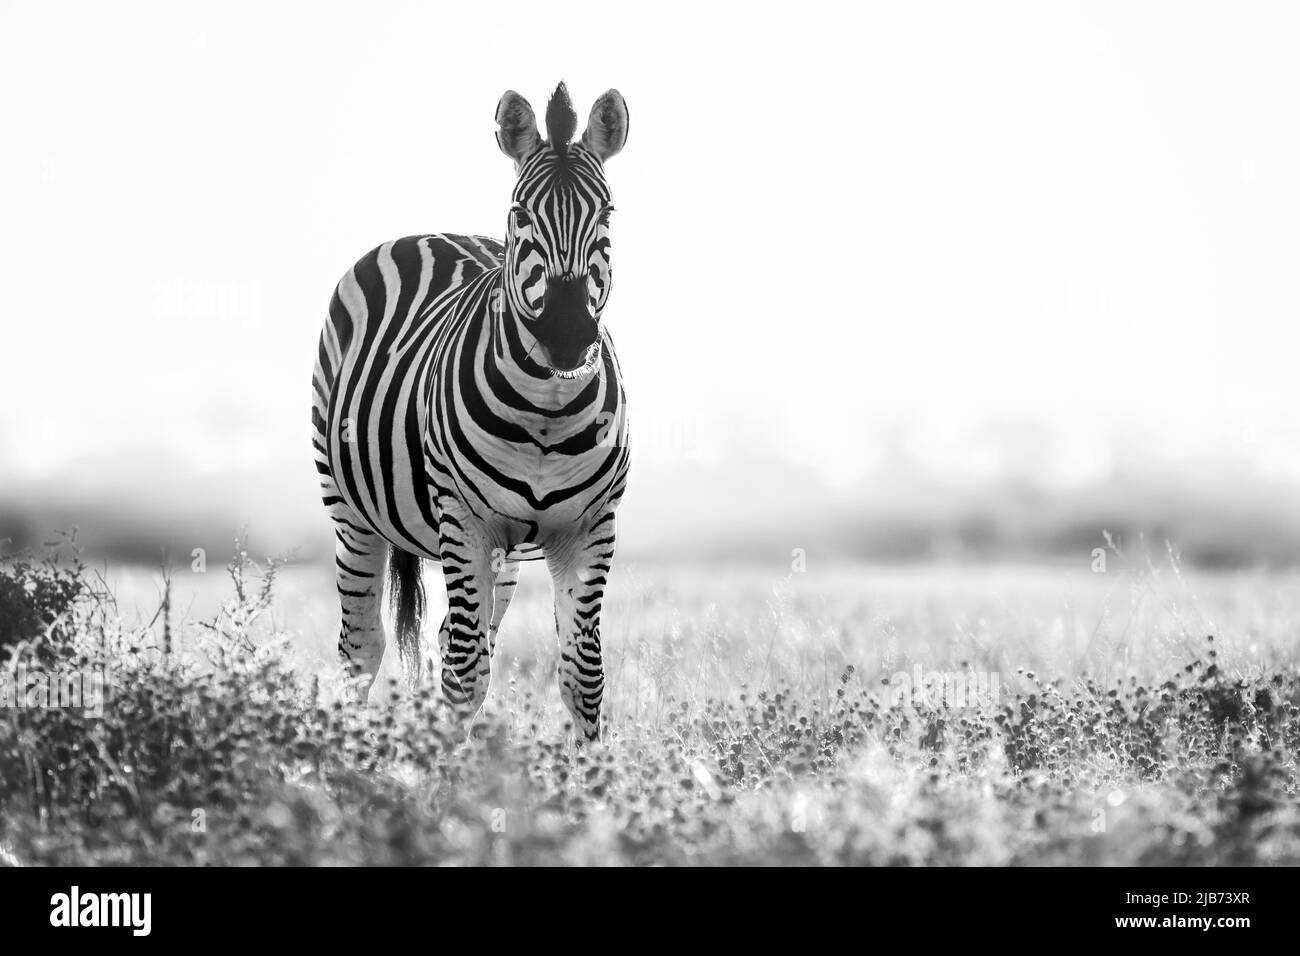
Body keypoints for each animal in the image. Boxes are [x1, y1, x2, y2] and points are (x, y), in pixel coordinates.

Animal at [306, 83, 626, 738]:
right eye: (521, 214)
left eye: (606, 215)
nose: (567, 336)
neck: (549, 412)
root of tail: (430, 232)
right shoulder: (464, 519)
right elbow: (463, 677)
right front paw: (445, 766)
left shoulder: (592, 527)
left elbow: (583, 675)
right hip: (349, 508)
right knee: (363, 647)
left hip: (504, 553)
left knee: (461, 635)